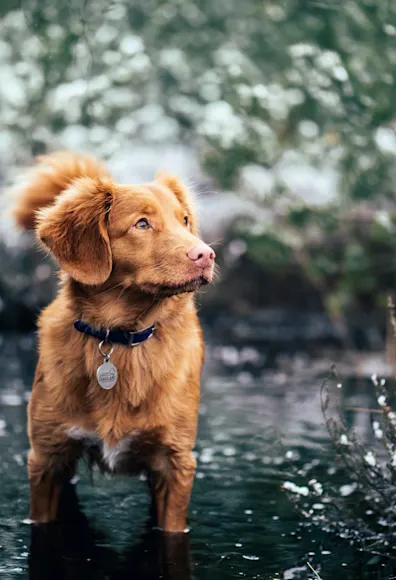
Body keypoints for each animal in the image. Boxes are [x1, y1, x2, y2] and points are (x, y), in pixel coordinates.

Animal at [12, 152, 215, 532]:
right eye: (142, 224)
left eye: (184, 220)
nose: (207, 255)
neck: (119, 339)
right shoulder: (47, 458)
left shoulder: (175, 462)